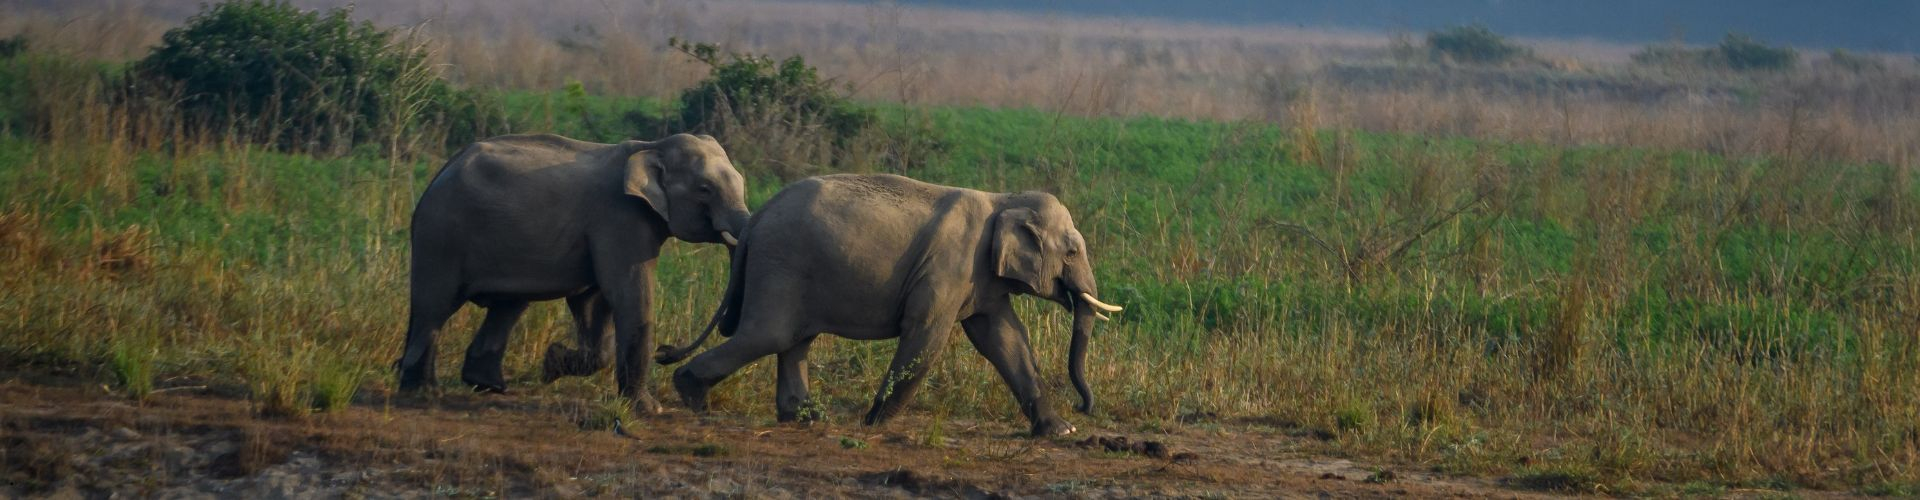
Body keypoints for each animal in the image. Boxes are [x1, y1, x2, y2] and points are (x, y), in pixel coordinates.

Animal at [397, 131, 748, 409]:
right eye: (705, 189)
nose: (666, 352)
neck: (652, 146)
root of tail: (441, 172)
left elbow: (593, 303)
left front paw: (551, 364)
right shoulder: (620, 217)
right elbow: (628, 295)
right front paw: (648, 410)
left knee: (505, 305)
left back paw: (485, 385)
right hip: (441, 234)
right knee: (435, 305)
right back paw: (425, 393)